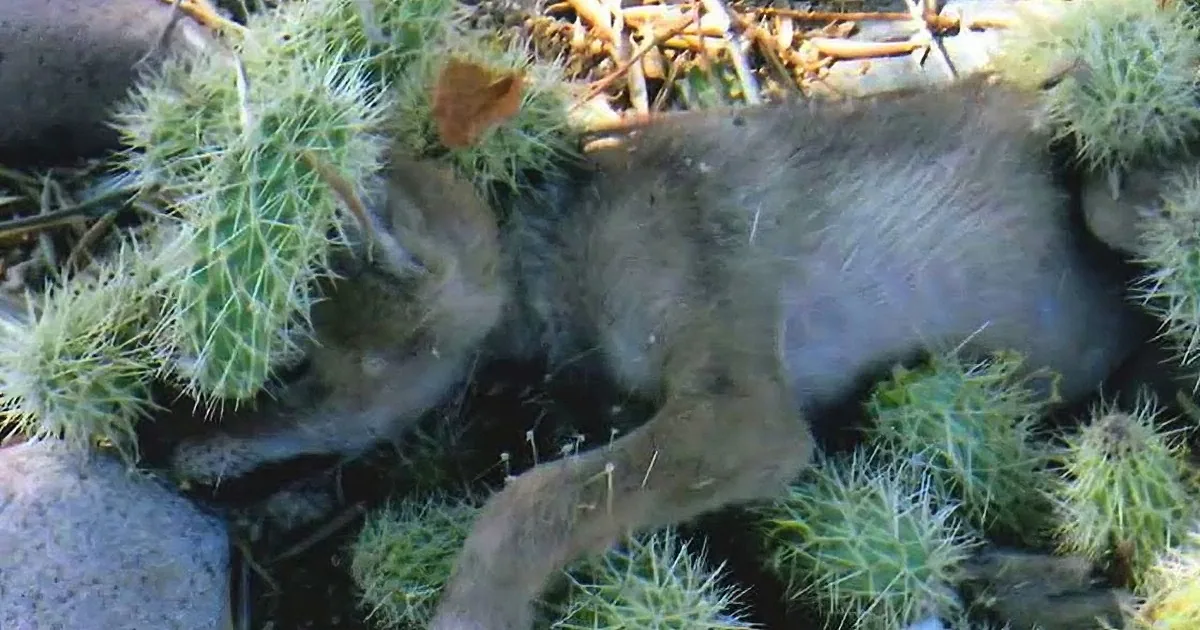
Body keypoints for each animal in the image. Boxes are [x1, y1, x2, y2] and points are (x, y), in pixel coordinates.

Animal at [170, 72, 1153, 629]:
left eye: (291, 369)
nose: (170, 451)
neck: (561, 253)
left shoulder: (743, 414)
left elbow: (523, 504)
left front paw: (473, 610)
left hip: (1113, 205)